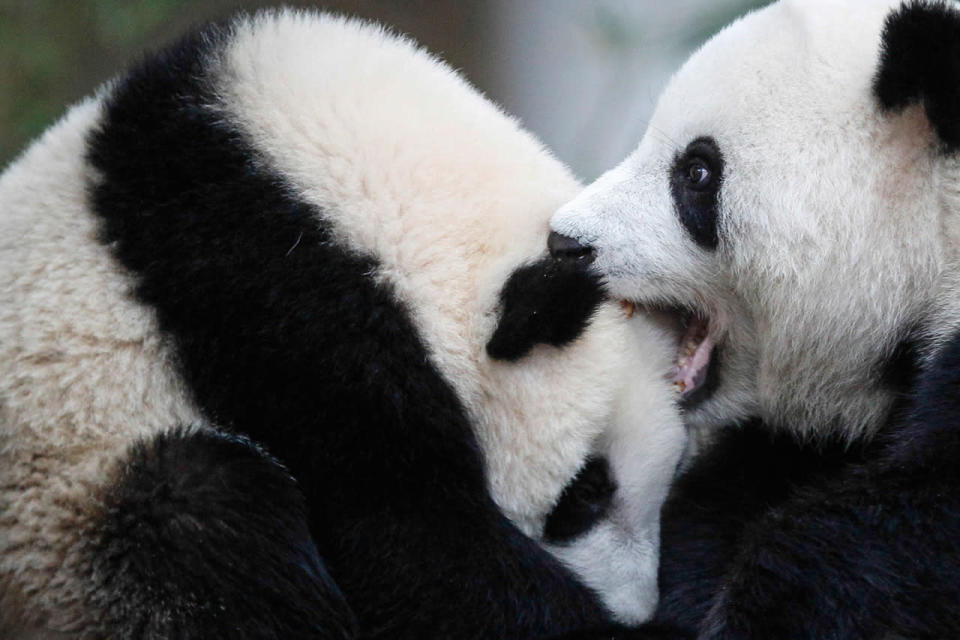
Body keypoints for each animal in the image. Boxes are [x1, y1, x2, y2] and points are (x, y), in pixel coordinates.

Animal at [0, 10, 684, 640]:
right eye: (585, 491)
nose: (634, 609)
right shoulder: (281, 311)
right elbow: (409, 542)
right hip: (60, 522)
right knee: (199, 518)